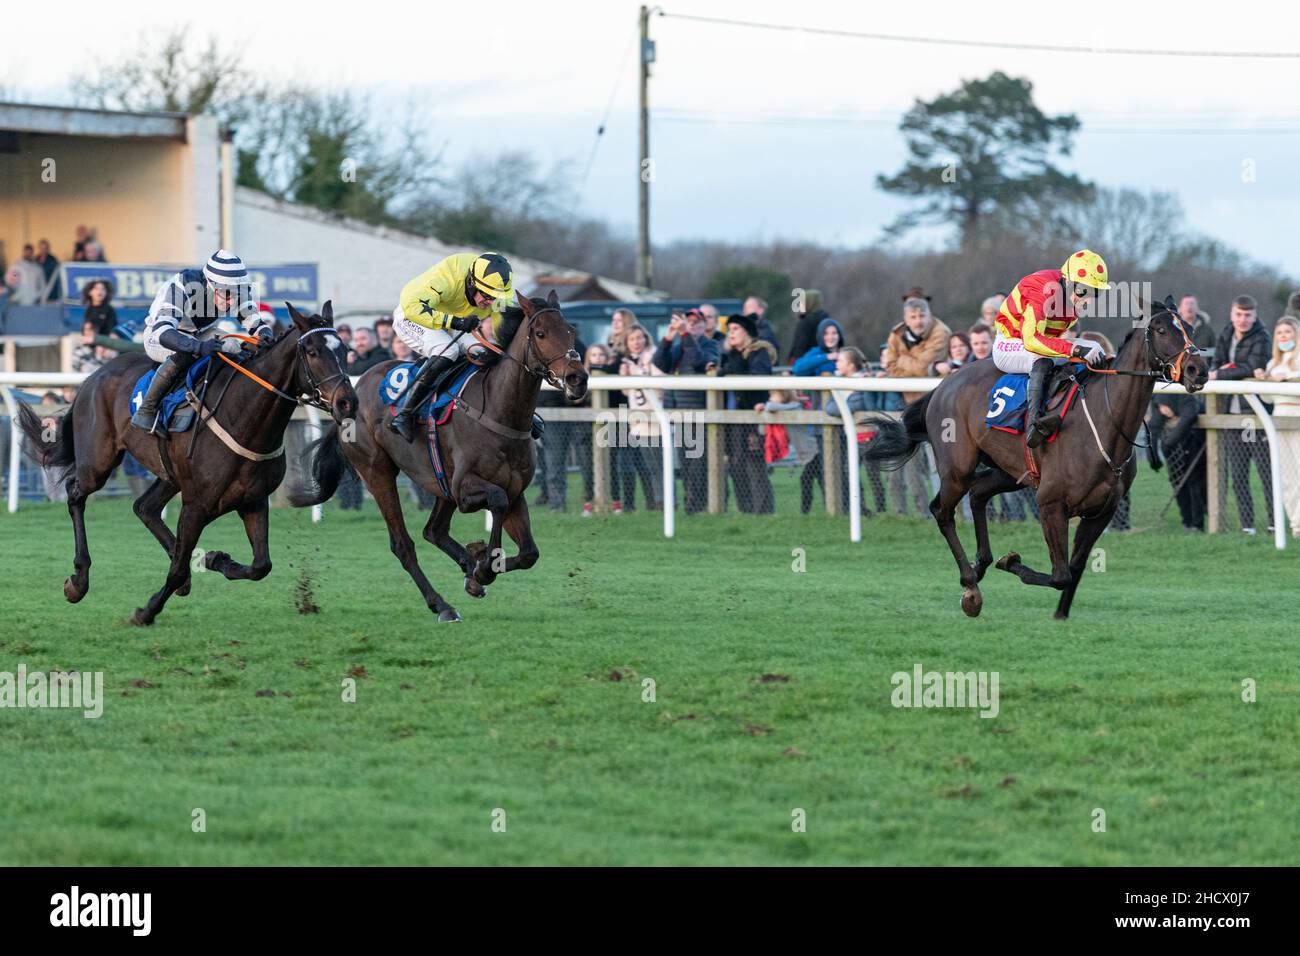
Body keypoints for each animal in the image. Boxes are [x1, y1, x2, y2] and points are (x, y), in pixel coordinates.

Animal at [20, 303, 356, 624]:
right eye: (312, 352)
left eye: (344, 351)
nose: (346, 402)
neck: (243, 417)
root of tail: (93, 376)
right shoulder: (197, 504)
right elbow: (179, 568)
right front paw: (147, 611)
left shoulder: (253, 500)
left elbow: (261, 565)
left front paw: (218, 560)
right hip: (98, 462)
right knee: (76, 493)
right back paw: (78, 581)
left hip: (169, 474)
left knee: (145, 507)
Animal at [292, 290, 587, 621]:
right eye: (540, 333)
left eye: (570, 331)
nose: (578, 379)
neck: (499, 411)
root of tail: (348, 395)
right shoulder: (465, 489)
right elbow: (496, 502)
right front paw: (483, 568)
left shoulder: (514, 491)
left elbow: (529, 554)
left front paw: (478, 568)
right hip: (377, 472)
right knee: (402, 544)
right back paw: (442, 604)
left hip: (438, 482)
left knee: (433, 531)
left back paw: (467, 566)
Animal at [863, 299, 1206, 621]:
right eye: (1161, 329)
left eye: (1190, 327)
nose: (1197, 369)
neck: (1105, 419)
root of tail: (942, 385)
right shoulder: (1051, 503)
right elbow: (1060, 574)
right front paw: (1010, 561)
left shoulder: (1102, 511)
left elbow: (1075, 568)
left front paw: (1060, 614)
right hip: (957, 468)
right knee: (942, 511)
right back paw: (970, 586)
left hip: (1009, 470)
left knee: (978, 494)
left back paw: (981, 563)